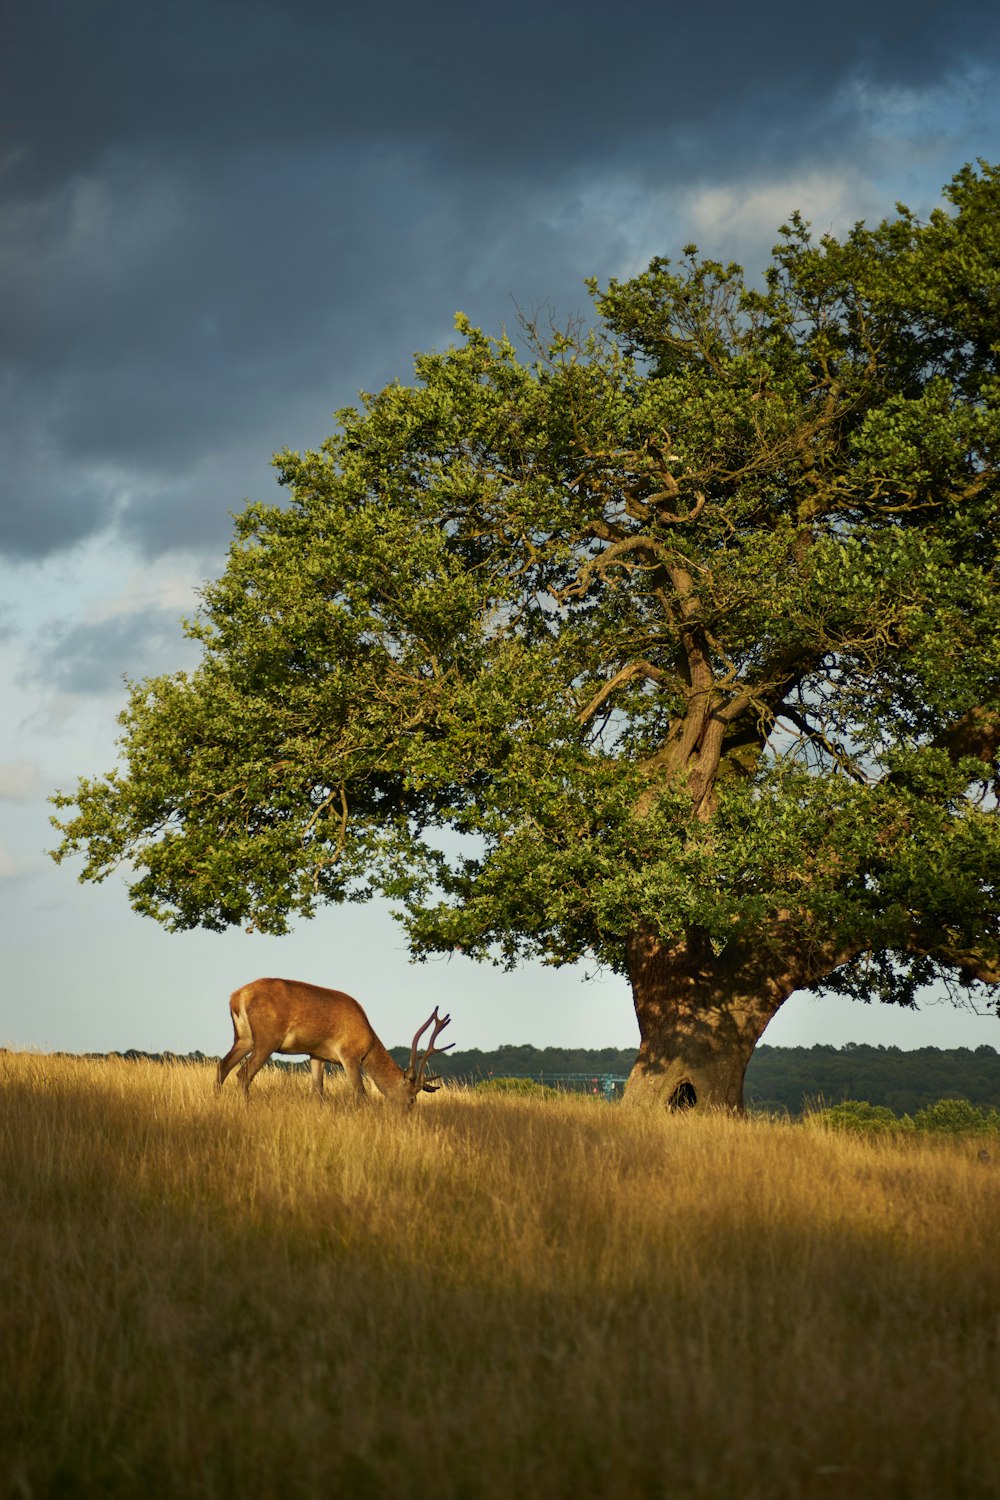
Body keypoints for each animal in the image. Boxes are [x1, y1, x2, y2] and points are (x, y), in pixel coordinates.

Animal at [220, 978, 458, 1110]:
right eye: (411, 1100)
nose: (406, 1115)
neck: (368, 1042)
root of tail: (235, 997)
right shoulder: (349, 1055)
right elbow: (361, 1092)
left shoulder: (317, 1054)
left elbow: (318, 1091)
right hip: (266, 1039)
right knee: (243, 1073)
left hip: (244, 1037)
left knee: (223, 1065)